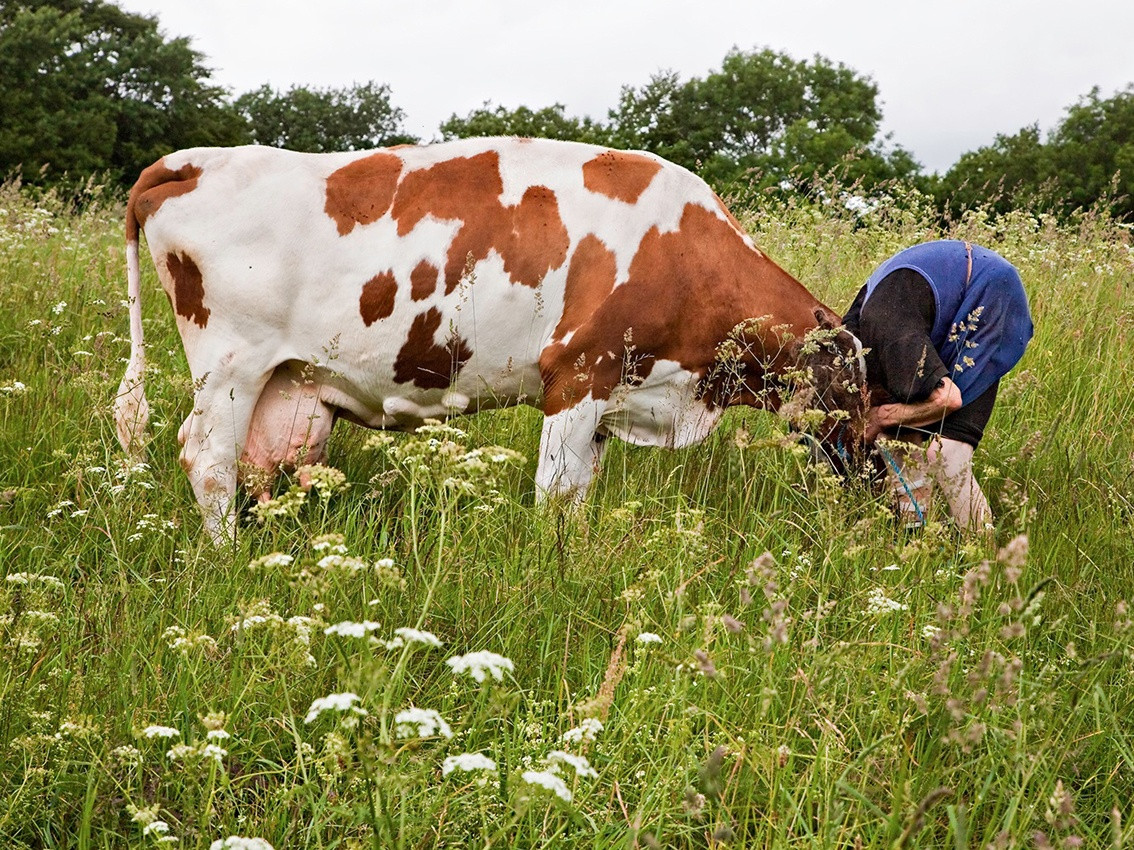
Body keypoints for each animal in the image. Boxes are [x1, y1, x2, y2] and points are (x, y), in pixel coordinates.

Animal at [115, 136, 861, 541]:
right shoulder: (577, 375)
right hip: (228, 366)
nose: (865, 498)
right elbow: (554, 492)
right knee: (208, 459)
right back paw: (228, 556)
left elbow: (579, 496)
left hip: (282, 380)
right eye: (863, 400)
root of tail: (188, 161)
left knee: (258, 464)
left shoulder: (610, 396)